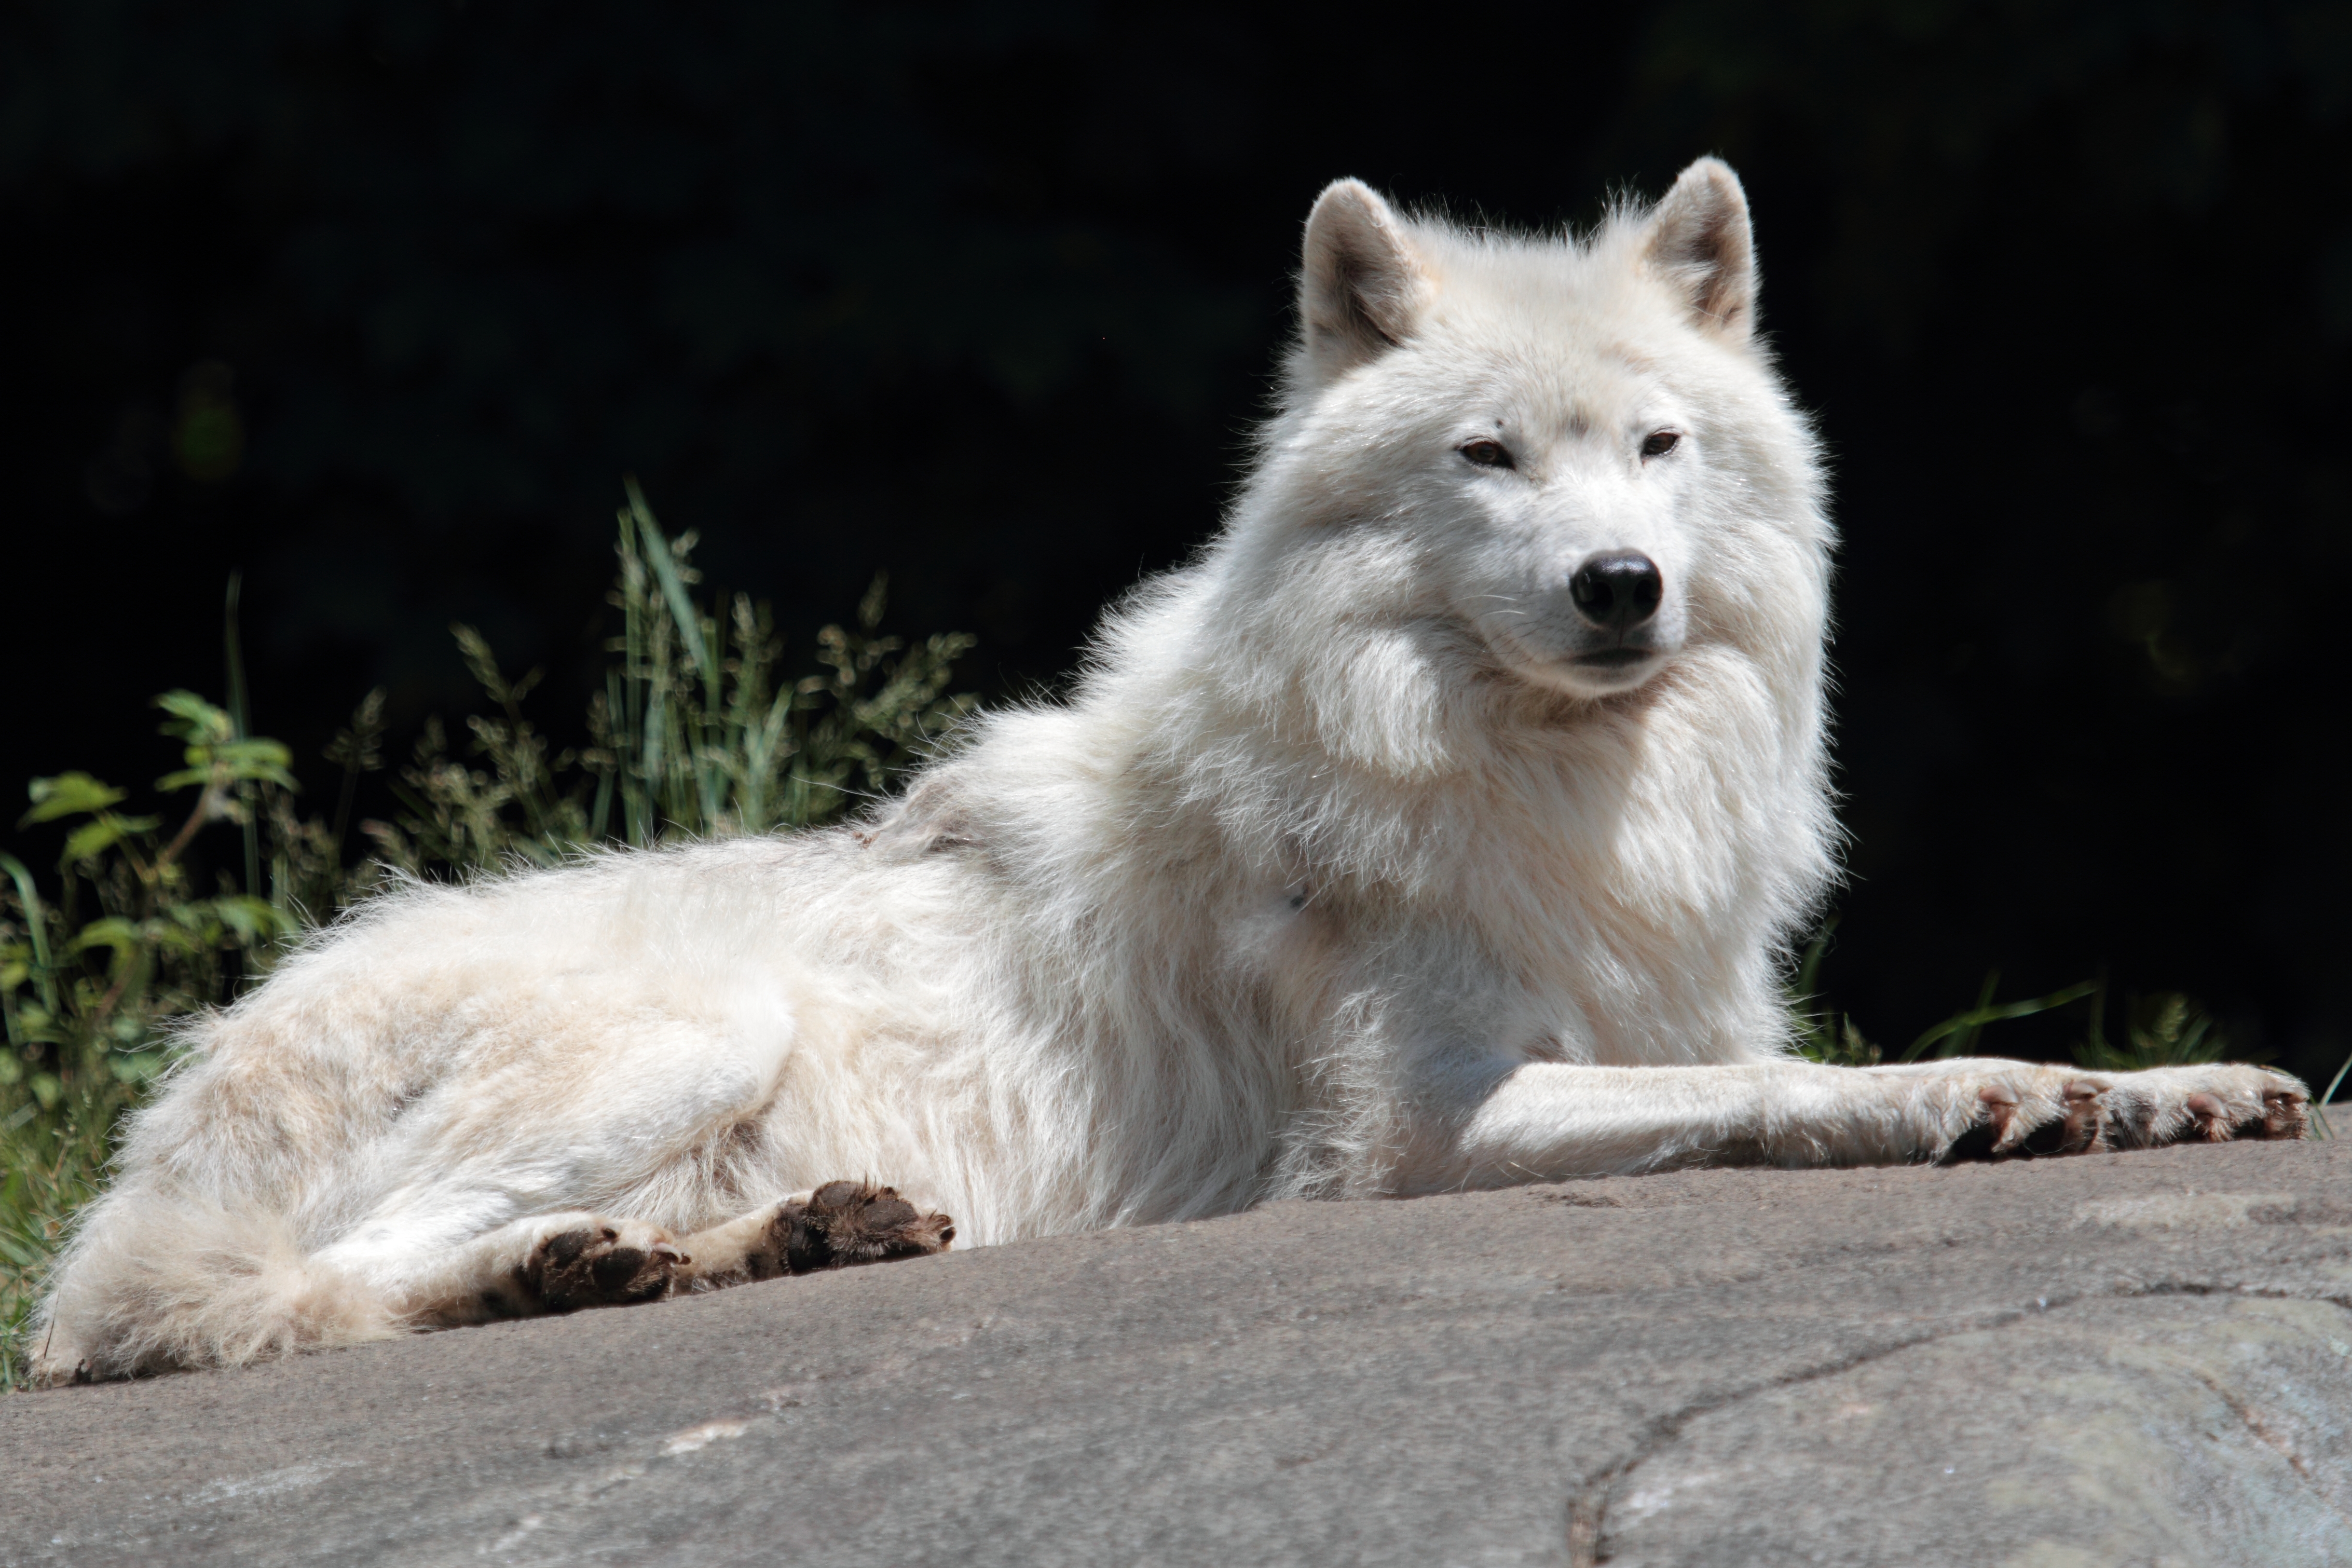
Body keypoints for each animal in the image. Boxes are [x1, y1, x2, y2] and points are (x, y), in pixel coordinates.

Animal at [41, 162, 2314, 1382]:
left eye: (1658, 447)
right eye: (1489, 457)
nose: (1621, 585)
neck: (1542, 787)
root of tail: (178, 1114)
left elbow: (1874, 1058)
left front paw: (2163, 1092)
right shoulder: (1409, 1133)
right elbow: (1799, 1091)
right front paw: (1989, 1102)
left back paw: (766, 1247)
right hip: (689, 1033)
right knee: (313, 1288)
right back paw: (572, 1269)